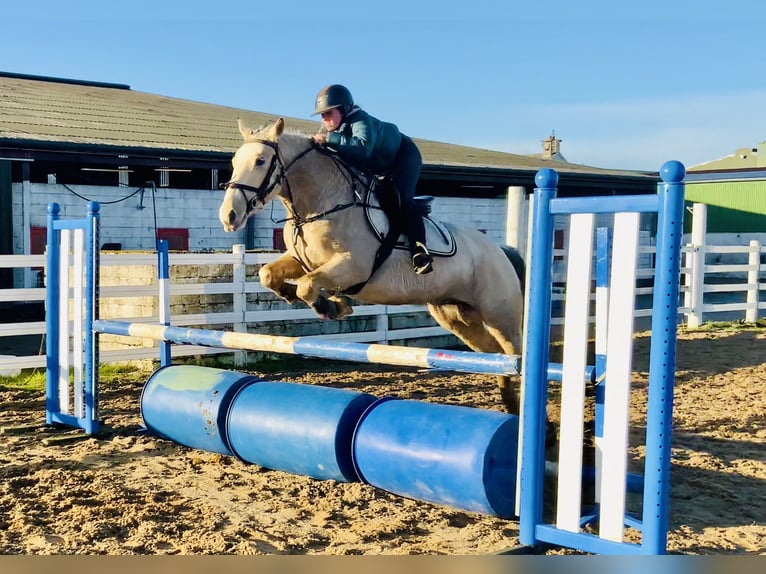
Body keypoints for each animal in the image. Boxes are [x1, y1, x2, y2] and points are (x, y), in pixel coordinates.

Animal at [218, 117, 526, 413]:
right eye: (234, 162)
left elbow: (307, 286)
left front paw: (332, 306)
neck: (321, 203)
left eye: (260, 161)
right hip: (455, 316)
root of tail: (500, 250)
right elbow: (269, 274)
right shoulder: (303, 262)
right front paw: (300, 296)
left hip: (500, 315)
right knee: (495, 354)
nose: (229, 216)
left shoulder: (353, 266)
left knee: (515, 352)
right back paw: (510, 403)